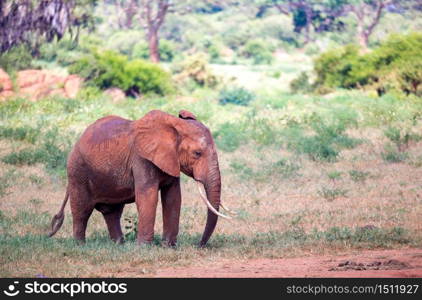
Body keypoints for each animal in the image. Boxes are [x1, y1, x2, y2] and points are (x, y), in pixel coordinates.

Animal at [50, 109, 234, 247]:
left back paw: (119, 245)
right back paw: (80, 245)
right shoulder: (141, 158)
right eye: (197, 153)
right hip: (77, 171)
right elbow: (148, 196)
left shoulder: (170, 160)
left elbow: (173, 197)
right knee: (82, 209)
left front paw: (168, 246)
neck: (174, 125)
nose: (198, 245)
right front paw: (145, 247)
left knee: (112, 212)